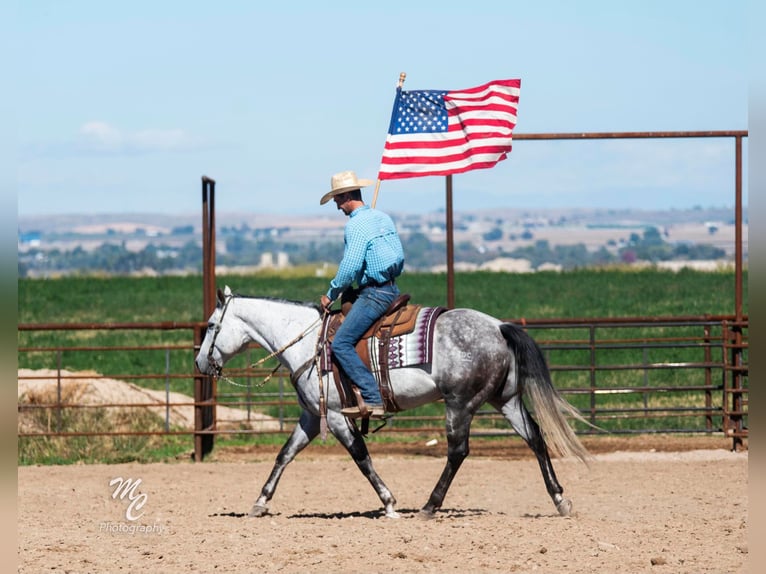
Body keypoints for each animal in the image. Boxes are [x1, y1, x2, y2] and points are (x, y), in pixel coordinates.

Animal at [195, 288, 592, 520]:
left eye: (212, 324)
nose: (199, 364)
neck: (308, 343)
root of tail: (497, 326)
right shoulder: (311, 415)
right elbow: (284, 455)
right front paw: (260, 502)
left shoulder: (337, 416)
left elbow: (361, 457)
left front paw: (388, 503)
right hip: (505, 400)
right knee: (535, 438)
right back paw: (560, 500)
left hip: (460, 404)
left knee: (457, 451)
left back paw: (429, 507)